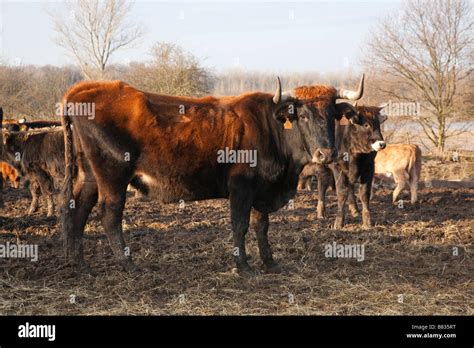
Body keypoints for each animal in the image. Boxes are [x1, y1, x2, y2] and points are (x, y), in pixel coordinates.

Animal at [59, 77, 362, 274]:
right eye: (303, 115)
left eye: (332, 114)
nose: (326, 154)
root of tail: (85, 88)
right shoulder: (241, 187)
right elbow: (239, 225)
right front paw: (243, 266)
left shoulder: (261, 188)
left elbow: (261, 225)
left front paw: (269, 262)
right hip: (113, 175)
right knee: (109, 214)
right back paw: (128, 263)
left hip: (90, 175)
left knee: (79, 209)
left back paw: (78, 263)